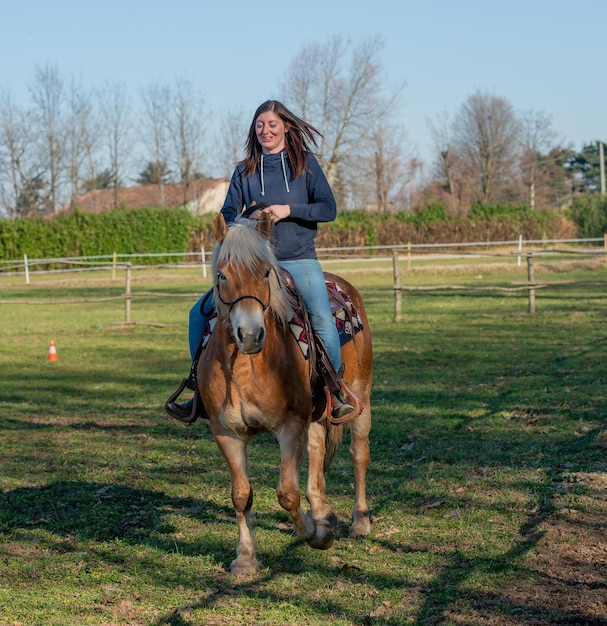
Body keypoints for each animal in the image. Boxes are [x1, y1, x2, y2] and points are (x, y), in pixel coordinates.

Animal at [201, 212, 370, 572]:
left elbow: (287, 493)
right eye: (222, 275)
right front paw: (245, 558)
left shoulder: (290, 426)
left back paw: (360, 521)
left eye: (266, 271)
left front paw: (317, 536)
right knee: (318, 450)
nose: (250, 334)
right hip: (318, 412)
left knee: (358, 454)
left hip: (362, 397)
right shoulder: (226, 432)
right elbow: (241, 495)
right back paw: (322, 512)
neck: (247, 370)